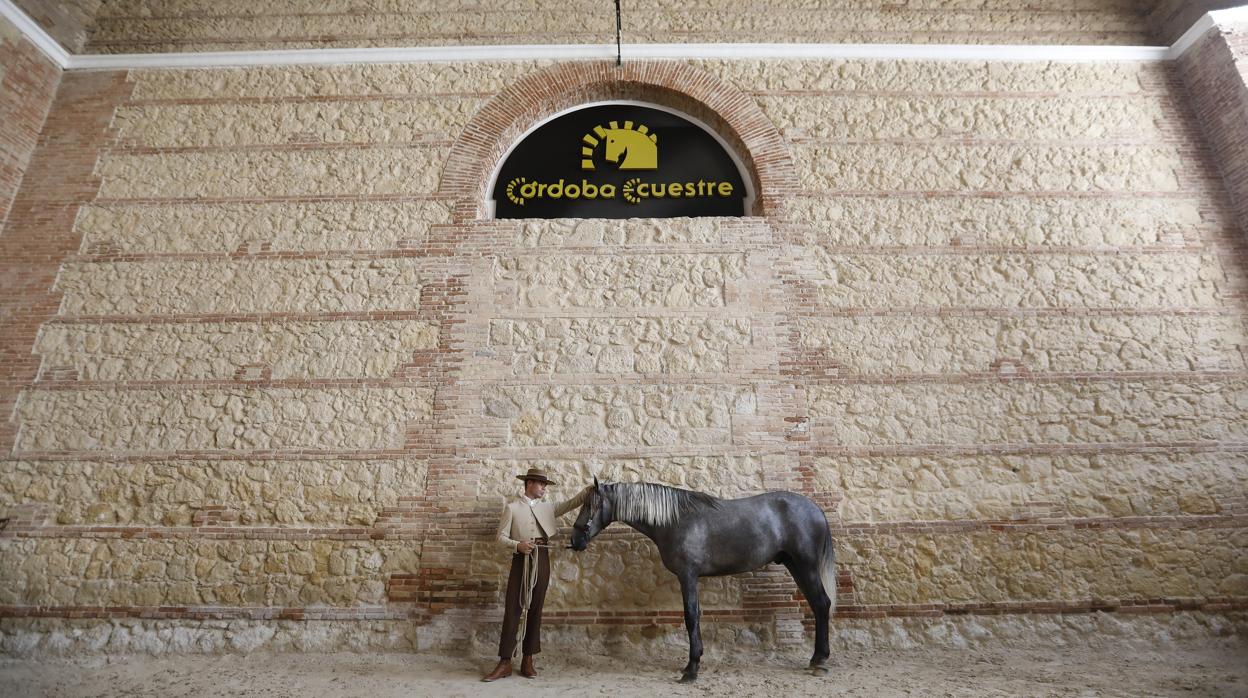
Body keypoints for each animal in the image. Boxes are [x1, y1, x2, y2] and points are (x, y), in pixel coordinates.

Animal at [569, 479, 836, 683]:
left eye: (589, 505)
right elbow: (695, 615)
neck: (675, 521)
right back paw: (816, 659)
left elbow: (691, 617)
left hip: (806, 566)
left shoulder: (687, 575)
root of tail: (816, 510)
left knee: (822, 603)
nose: (574, 540)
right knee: (816, 604)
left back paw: (820, 660)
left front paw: (691, 669)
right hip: (795, 566)